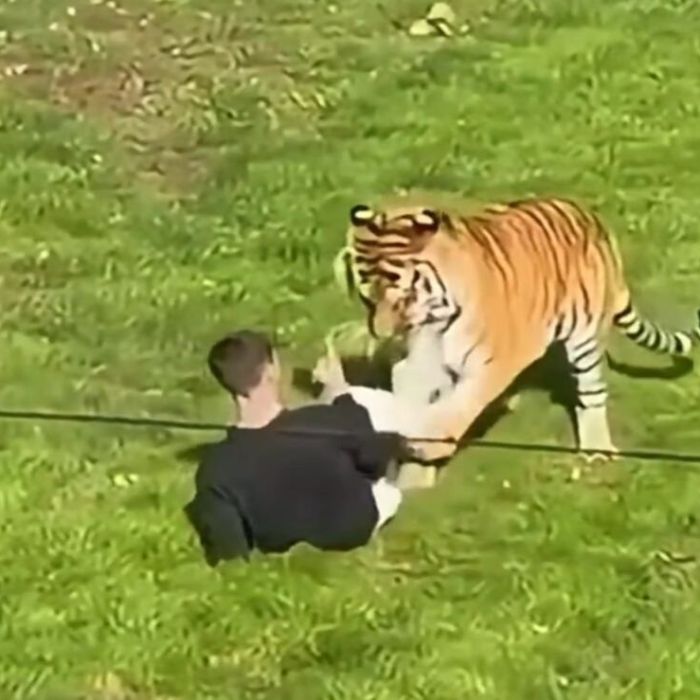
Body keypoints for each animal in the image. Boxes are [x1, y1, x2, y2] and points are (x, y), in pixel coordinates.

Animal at [337, 196, 700, 465]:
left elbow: (462, 403)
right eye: (367, 298)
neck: (437, 318)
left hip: (584, 339)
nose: (383, 336)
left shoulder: (496, 362)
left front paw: (429, 443)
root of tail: (591, 219)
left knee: (592, 393)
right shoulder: (418, 362)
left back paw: (596, 449)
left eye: (404, 297)